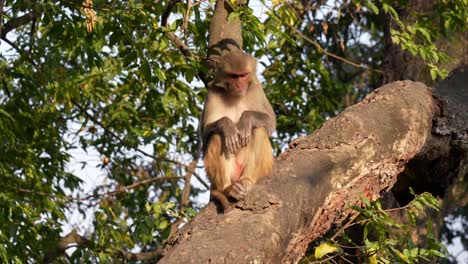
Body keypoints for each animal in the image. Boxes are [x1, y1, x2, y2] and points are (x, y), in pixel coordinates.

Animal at [200, 49, 274, 210]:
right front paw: (227, 125)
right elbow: (205, 134)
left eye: (243, 75)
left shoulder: (256, 88)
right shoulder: (212, 93)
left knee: (259, 129)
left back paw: (247, 180)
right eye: (234, 76)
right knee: (217, 136)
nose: (239, 85)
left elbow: (270, 122)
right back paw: (227, 188)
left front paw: (246, 119)